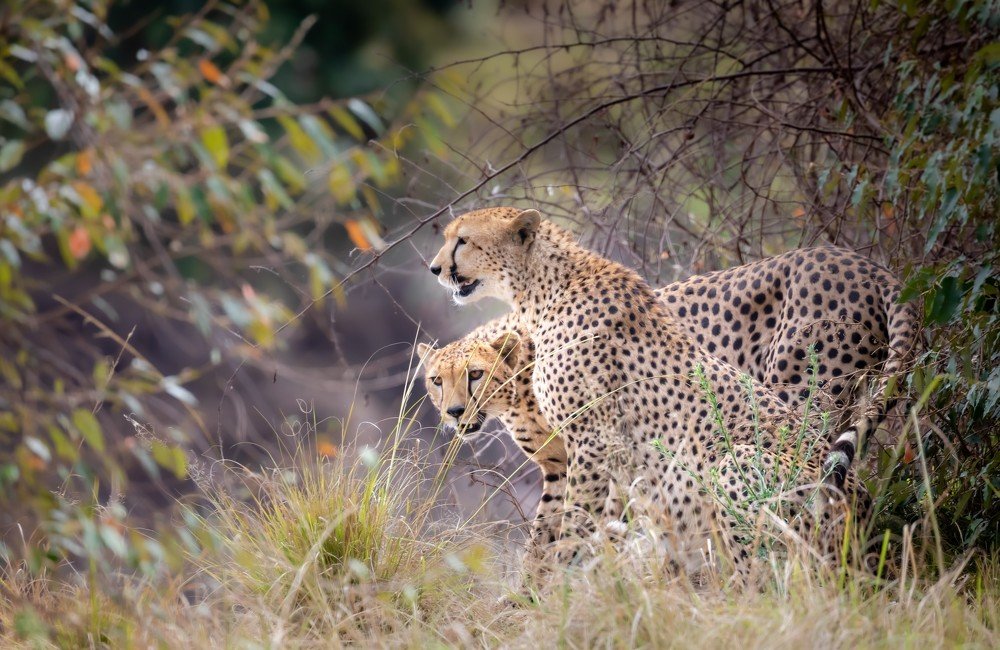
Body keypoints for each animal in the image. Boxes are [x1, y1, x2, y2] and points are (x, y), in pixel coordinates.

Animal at [424, 206, 906, 581]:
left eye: (462, 241)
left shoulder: (594, 445)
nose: (434, 269)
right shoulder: (566, 463)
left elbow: (581, 527)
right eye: (436, 381)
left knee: (769, 576)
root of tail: (870, 267)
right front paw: (530, 593)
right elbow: (549, 532)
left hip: (767, 436)